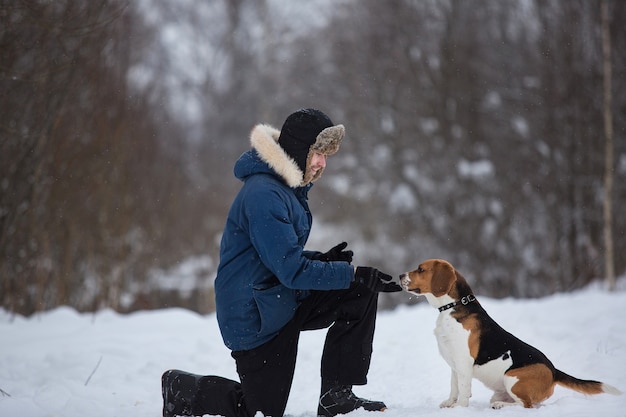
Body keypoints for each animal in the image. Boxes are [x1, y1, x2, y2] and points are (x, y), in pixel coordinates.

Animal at [400, 258, 620, 408]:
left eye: (421, 269)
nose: (400, 276)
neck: (453, 307)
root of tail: (554, 370)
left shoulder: (463, 362)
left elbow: (463, 389)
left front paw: (460, 408)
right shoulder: (455, 364)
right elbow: (454, 387)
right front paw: (449, 403)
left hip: (511, 378)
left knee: (526, 406)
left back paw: (501, 406)